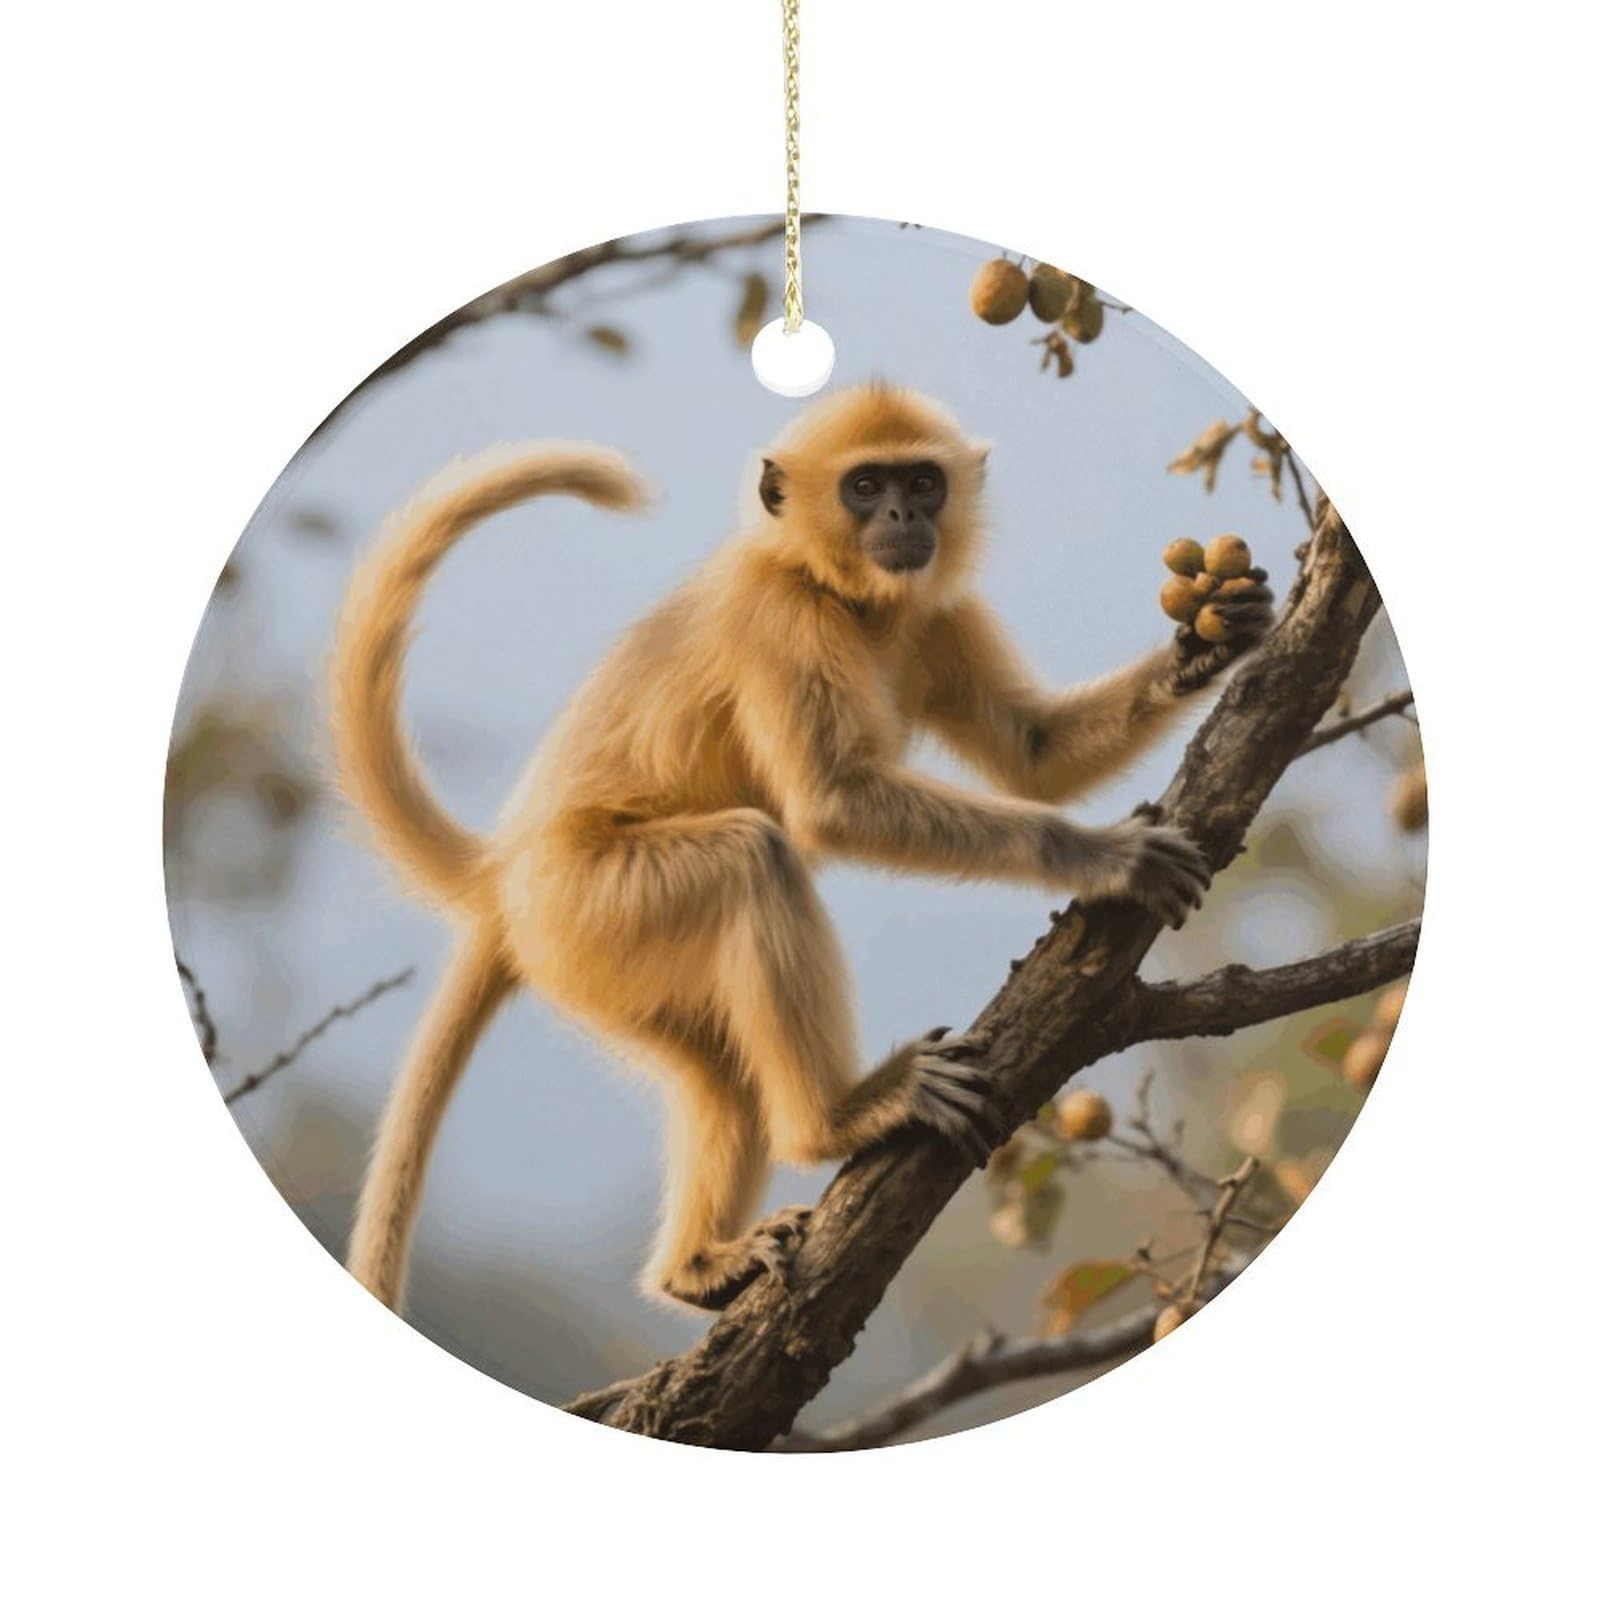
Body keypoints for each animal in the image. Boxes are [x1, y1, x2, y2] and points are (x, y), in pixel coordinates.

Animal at [330, 384, 1273, 1315]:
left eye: (922, 482)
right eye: (864, 487)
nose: (900, 513)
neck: (842, 593)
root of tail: (506, 877)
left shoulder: (935, 611)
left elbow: (1032, 754)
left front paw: (1206, 645)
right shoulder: (779, 618)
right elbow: (829, 806)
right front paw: (1103, 856)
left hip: (603, 965)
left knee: (721, 1074)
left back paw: (697, 1267)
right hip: (595, 902)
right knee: (756, 857)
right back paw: (838, 1119)